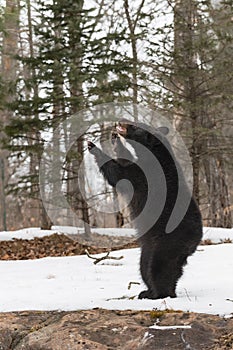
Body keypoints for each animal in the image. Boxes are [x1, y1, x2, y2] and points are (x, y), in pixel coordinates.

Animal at [87, 119, 202, 298]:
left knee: (160, 268)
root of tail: (196, 240)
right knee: (146, 267)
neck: (155, 155)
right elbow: (125, 161)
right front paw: (115, 139)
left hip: (170, 242)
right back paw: (148, 291)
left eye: (136, 126)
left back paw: (158, 293)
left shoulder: (145, 175)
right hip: (149, 249)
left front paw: (93, 147)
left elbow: (120, 174)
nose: (121, 121)